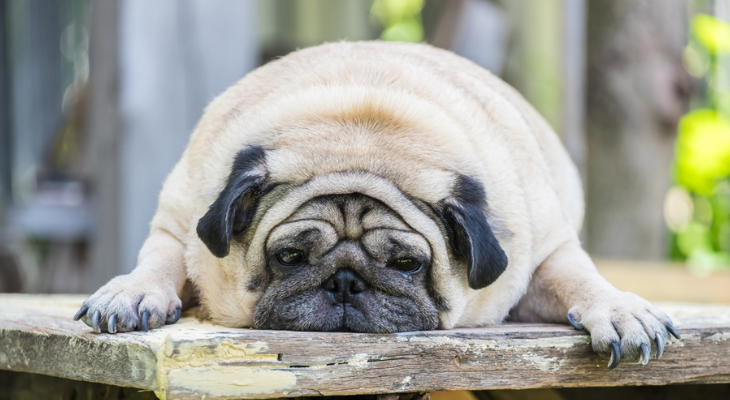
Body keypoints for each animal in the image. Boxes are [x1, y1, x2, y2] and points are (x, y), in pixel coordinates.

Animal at [74, 41, 676, 368]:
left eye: (407, 264)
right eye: (290, 258)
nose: (344, 282)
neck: (359, 132)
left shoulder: (549, 249)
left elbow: (582, 278)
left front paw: (619, 311)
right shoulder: (177, 220)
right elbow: (161, 258)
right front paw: (132, 293)